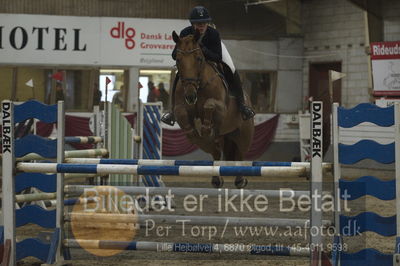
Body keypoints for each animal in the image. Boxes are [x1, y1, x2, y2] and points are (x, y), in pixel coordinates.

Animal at [171, 30, 253, 189]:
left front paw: (205, 129)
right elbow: (182, 114)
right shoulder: (180, 108)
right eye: (178, 60)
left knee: (240, 153)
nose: (190, 96)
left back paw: (240, 179)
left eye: (198, 59)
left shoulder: (221, 108)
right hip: (223, 136)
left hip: (244, 135)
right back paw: (216, 178)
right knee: (215, 152)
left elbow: (209, 105)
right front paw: (194, 133)